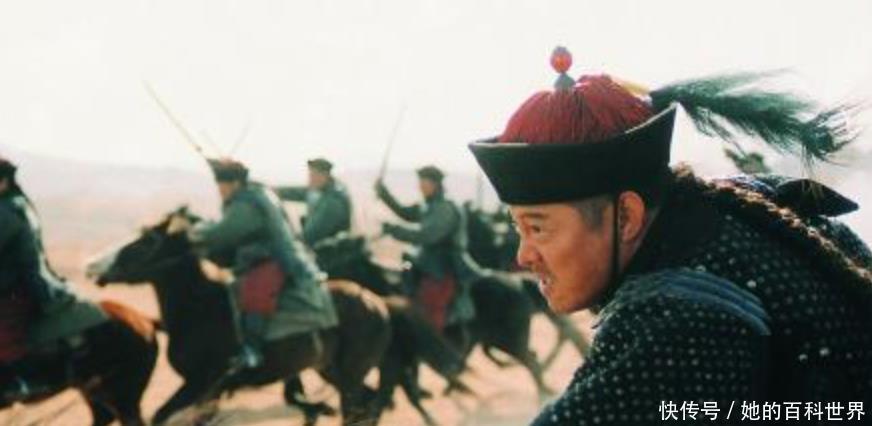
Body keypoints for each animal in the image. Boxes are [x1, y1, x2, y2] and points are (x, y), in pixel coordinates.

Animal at [94, 211, 392, 426]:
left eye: (147, 241)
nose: (98, 269)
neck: (200, 309)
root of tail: (378, 305)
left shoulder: (201, 383)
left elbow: (161, 416)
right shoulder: (207, 392)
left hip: (350, 375)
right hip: (332, 371)